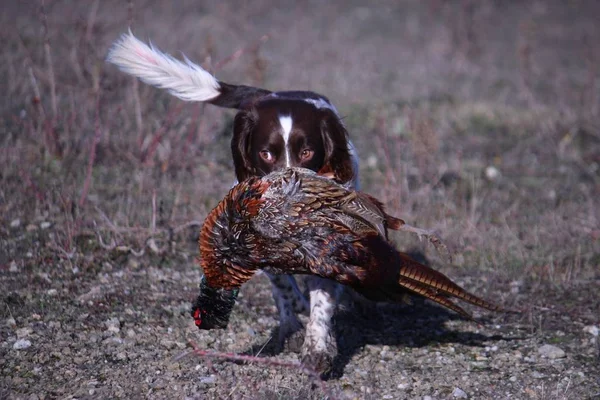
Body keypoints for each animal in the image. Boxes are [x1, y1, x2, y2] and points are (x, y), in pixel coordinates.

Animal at [107, 32, 358, 376]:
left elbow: (322, 299)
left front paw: (319, 348)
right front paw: (302, 324)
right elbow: (285, 287)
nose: (286, 195)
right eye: (266, 154)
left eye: (307, 152)